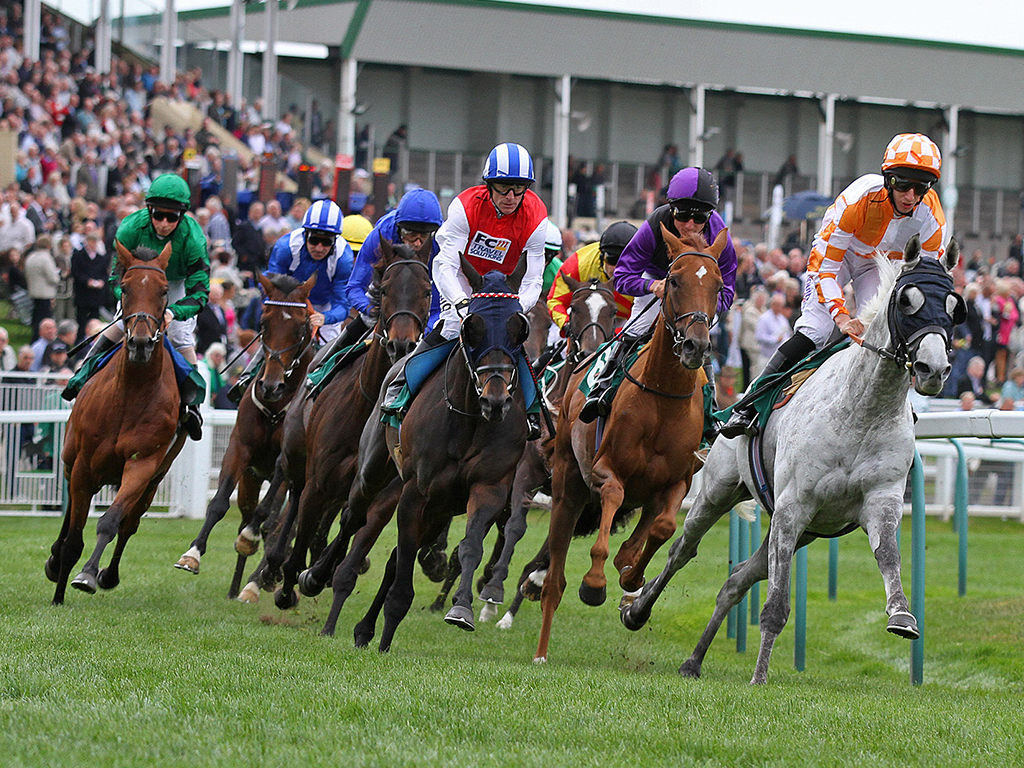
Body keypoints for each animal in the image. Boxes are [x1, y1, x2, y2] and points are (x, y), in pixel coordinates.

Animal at [46, 243, 188, 606]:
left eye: (164, 291)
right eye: (125, 288)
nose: (140, 343)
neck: (130, 395)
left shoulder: (142, 464)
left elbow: (113, 522)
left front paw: (88, 574)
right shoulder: (83, 465)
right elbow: (73, 536)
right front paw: (59, 591)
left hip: (155, 477)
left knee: (130, 522)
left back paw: (107, 573)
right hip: (71, 460)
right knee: (70, 513)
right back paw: (54, 559)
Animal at [172, 274, 317, 598]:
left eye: (300, 327)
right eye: (263, 322)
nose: (270, 386)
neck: (275, 406)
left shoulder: (284, 463)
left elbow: (269, 519)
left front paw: (255, 552)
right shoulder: (240, 448)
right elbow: (219, 503)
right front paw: (192, 554)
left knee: (279, 525)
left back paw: (257, 579)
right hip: (251, 479)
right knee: (248, 516)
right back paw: (236, 586)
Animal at [260, 237, 432, 610]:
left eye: (428, 291)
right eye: (384, 288)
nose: (402, 344)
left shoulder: (384, 491)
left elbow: (353, 525)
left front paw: (320, 573)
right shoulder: (319, 479)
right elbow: (302, 528)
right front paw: (288, 583)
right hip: (297, 457)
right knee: (294, 497)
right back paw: (273, 564)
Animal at [532, 225, 724, 663]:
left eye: (719, 286)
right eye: (674, 281)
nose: (696, 346)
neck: (663, 399)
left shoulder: (676, 483)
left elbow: (664, 528)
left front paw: (631, 576)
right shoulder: (604, 471)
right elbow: (612, 500)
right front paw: (595, 583)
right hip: (567, 485)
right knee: (554, 582)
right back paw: (541, 648)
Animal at [618, 237, 962, 684]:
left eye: (955, 306)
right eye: (907, 301)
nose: (932, 368)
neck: (861, 411)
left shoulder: (880, 500)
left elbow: (889, 556)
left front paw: (902, 616)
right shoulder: (794, 505)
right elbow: (777, 606)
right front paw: (759, 676)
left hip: (804, 531)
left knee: (737, 580)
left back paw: (693, 660)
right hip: (720, 492)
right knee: (682, 549)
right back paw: (636, 608)